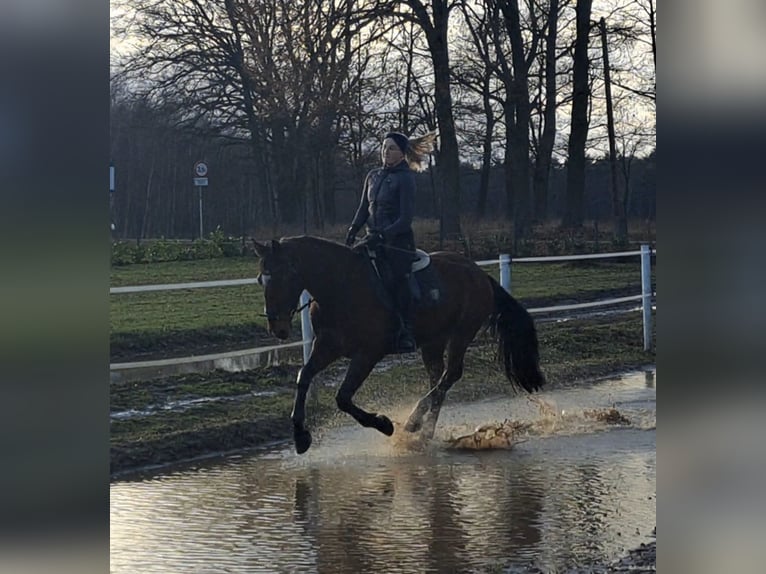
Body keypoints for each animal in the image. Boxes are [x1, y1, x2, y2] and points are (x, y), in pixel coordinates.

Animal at [252, 236, 544, 454]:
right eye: (260, 279)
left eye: (283, 276)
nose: (277, 328)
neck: (341, 287)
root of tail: (479, 273)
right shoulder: (327, 346)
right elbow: (304, 376)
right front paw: (300, 436)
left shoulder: (367, 354)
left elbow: (343, 397)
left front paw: (383, 424)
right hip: (433, 340)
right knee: (438, 379)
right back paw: (424, 433)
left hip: (461, 333)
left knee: (450, 375)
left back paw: (413, 424)